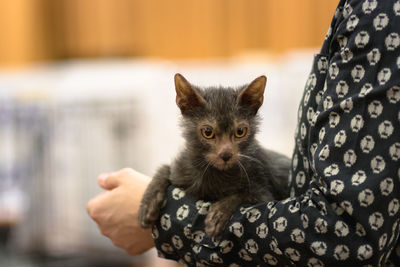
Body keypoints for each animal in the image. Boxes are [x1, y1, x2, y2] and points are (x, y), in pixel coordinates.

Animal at [139, 74, 290, 239]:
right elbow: (165, 169)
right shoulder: (180, 170)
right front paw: (148, 202)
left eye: (240, 132)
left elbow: (242, 194)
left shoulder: (264, 195)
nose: (226, 155)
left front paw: (219, 213)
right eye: (208, 132)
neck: (214, 173)